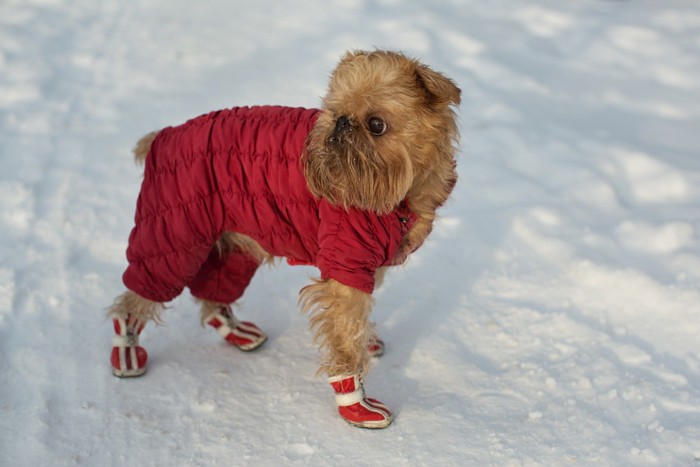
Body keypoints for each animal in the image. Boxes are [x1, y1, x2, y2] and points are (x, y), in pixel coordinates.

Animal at [108, 49, 460, 430]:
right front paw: (356, 404)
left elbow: (356, 321)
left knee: (211, 292)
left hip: (235, 242)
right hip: (172, 236)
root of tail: (162, 136)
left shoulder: (368, 263)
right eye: (335, 112)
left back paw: (236, 330)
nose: (341, 122)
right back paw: (126, 349)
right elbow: (344, 334)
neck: (402, 195)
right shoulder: (346, 262)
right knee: (137, 297)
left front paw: (367, 342)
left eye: (376, 124)